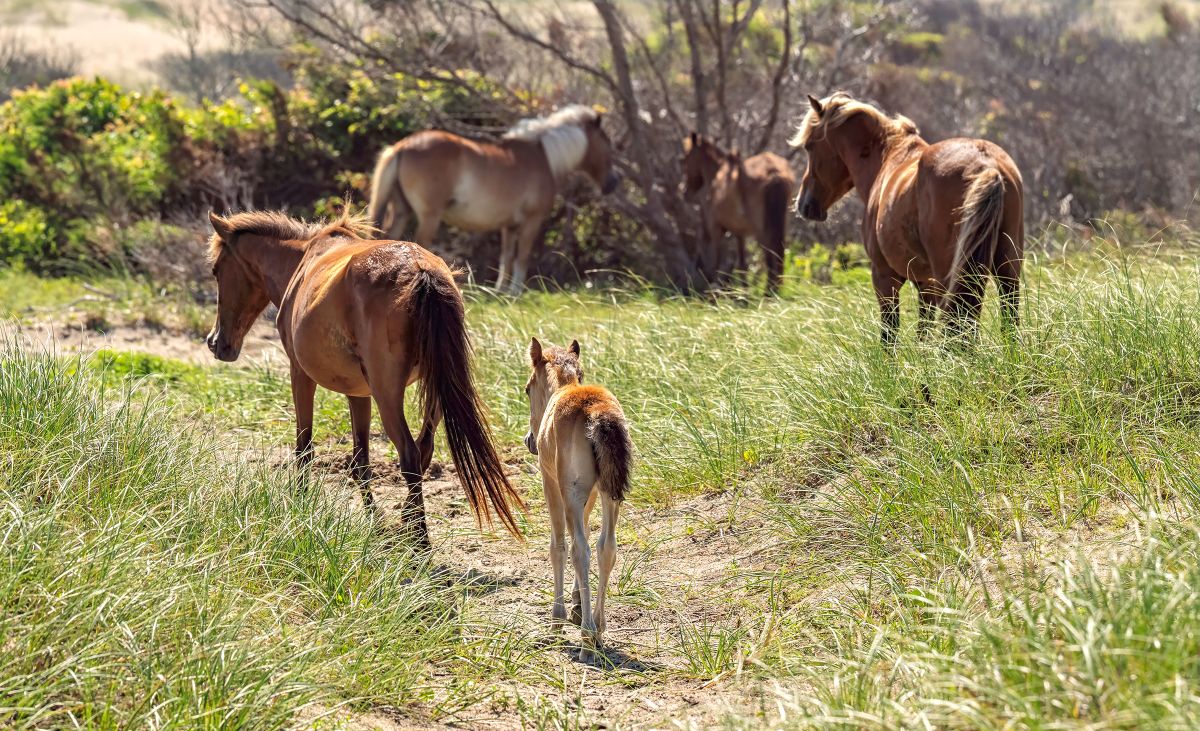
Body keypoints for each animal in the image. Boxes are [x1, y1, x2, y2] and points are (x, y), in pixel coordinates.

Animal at [204, 209, 524, 546]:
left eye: (216, 270)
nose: (215, 343)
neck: (303, 260)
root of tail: (420, 271)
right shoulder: (358, 392)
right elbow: (361, 461)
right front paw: (374, 522)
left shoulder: (299, 374)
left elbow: (305, 448)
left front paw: (299, 506)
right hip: (435, 390)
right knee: (423, 450)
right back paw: (407, 521)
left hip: (387, 396)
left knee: (410, 455)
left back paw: (420, 541)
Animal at [368, 105, 620, 295]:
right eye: (607, 143)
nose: (613, 183)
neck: (542, 157)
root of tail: (402, 147)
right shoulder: (531, 221)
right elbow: (522, 257)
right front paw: (516, 292)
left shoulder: (510, 226)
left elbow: (506, 258)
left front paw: (500, 292)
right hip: (429, 217)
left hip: (402, 211)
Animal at [523, 337, 632, 657]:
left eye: (527, 389)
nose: (530, 441)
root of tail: (596, 411)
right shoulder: (590, 493)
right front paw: (576, 605)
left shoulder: (552, 484)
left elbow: (558, 546)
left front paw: (558, 618)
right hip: (609, 494)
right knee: (606, 547)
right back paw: (598, 627)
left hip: (570, 492)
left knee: (579, 549)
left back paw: (587, 636)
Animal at [682, 132, 794, 293]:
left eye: (684, 159)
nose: (685, 192)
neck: (716, 174)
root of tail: (773, 173)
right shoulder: (739, 233)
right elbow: (742, 265)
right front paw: (744, 294)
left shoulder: (716, 229)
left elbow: (715, 264)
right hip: (780, 224)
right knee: (778, 253)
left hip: (761, 229)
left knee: (770, 254)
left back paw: (769, 292)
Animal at [790, 92, 1024, 345]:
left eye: (809, 146)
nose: (804, 204)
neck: (888, 157)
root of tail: (986, 165)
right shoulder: (926, 284)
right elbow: (923, 332)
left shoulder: (884, 277)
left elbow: (889, 335)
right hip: (1007, 270)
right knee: (1008, 320)